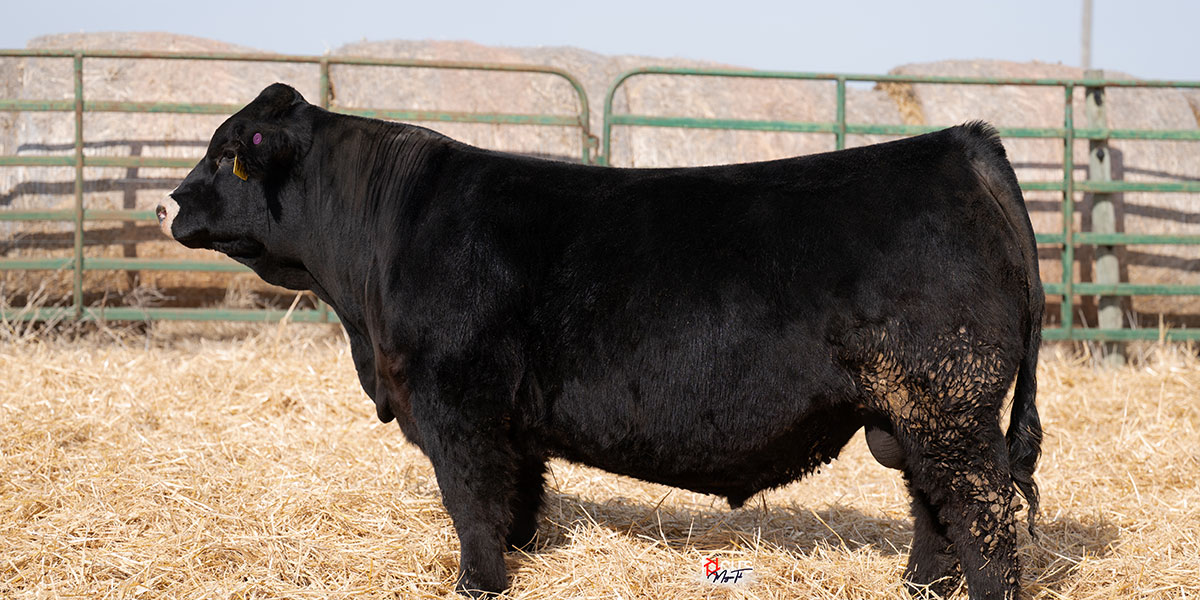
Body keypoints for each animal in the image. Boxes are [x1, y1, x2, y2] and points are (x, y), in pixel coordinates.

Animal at [157, 83, 1043, 600]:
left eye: (227, 155)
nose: (169, 203)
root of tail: (960, 143)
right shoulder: (510, 423)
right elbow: (517, 499)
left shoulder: (457, 408)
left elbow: (470, 504)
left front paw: (476, 585)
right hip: (910, 416)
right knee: (934, 511)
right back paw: (918, 589)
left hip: (949, 405)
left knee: (984, 522)